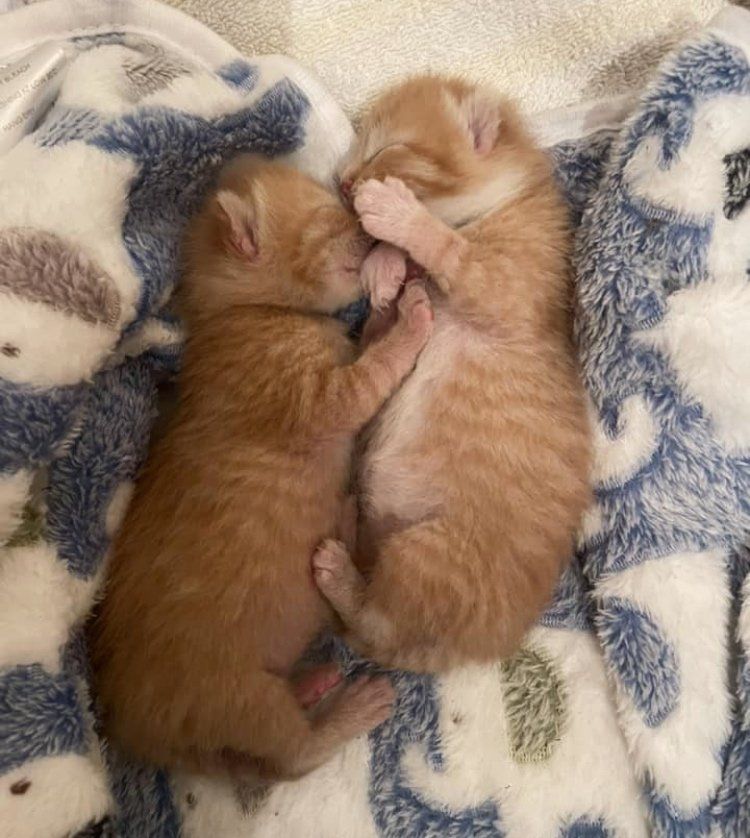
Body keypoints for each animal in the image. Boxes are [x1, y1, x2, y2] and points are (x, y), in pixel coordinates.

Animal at [89, 156, 434, 780]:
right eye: (328, 216)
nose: (367, 227)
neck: (247, 312)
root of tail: (134, 732)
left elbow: (368, 342)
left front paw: (392, 299)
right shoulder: (318, 400)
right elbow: (374, 371)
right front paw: (411, 320)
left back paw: (314, 677)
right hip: (240, 697)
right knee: (292, 757)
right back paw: (351, 706)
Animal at [312, 77, 592, 676]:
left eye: (388, 149)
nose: (344, 182)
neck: (505, 201)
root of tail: (470, 652)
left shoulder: (507, 289)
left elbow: (449, 249)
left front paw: (396, 217)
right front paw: (386, 265)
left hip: (426, 556)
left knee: (372, 624)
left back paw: (339, 571)